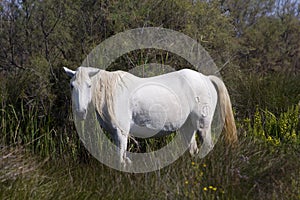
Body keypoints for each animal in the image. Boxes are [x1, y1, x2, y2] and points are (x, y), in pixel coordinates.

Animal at [64, 66, 238, 165]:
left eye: (89, 85)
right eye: (72, 85)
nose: (80, 112)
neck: (111, 92)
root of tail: (206, 78)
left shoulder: (121, 133)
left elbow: (120, 159)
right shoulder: (114, 134)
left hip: (203, 126)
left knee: (207, 146)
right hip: (188, 127)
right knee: (193, 149)